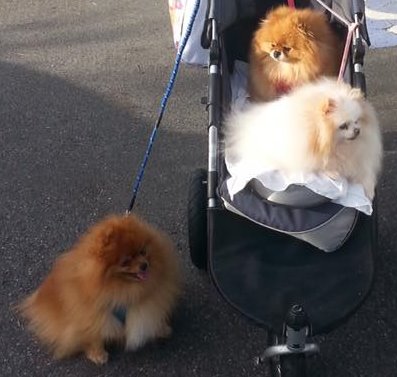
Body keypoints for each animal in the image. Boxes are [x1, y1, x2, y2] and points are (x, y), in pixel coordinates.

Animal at [223, 77, 380, 198]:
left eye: (357, 121)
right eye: (343, 126)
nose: (357, 131)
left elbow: (365, 172)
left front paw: (370, 191)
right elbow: (322, 166)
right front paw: (333, 173)